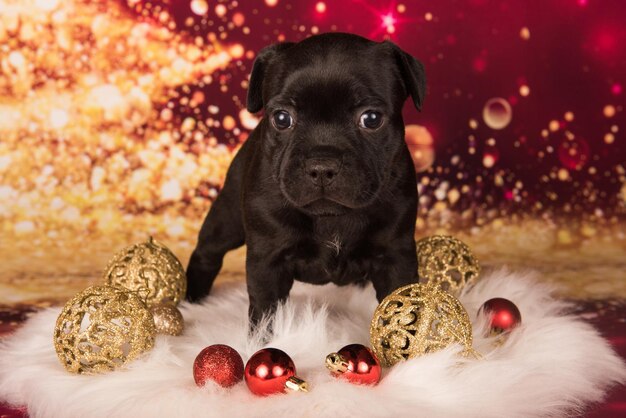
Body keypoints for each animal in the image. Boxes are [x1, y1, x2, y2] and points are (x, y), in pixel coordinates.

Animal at [185, 32, 424, 326]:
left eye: (371, 118)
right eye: (282, 118)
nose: (322, 166)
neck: (332, 217)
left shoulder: (395, 256)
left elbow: (401, 308)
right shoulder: (268, 260)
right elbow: (265, 310)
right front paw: (267, 337)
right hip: (226, 220)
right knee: (207, 253)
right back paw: (192, 299)